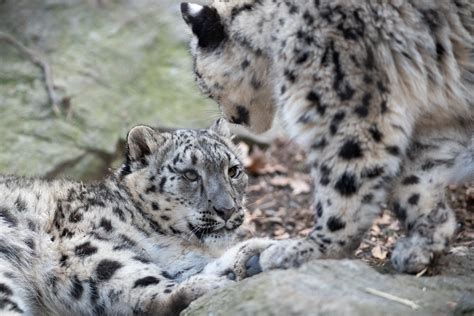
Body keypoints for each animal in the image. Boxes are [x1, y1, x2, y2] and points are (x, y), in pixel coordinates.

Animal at [0, 119, 308, 314]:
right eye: (190, 175)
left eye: (233, 170)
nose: (227, 209)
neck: (169, 243)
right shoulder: (81, 245)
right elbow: (134, 278)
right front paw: (212, 281)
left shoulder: (181, 260)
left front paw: (253, 253)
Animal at [180, 0, 472, 272]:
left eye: (199, 77)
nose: (229, 118)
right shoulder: (436, 120)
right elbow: (415, 179)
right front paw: (423, 242)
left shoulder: (349, 112)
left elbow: (344, 181)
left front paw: (309, 248)